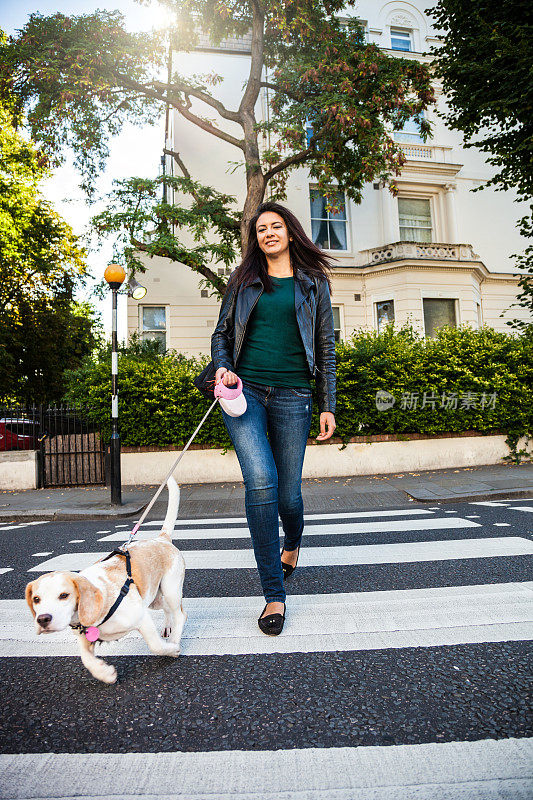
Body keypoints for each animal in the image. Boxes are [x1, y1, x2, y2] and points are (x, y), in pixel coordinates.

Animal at [25, 478, 187, 684]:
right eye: (36, 599)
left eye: (64, 595)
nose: (43, 619)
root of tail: (162, 539)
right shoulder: (85, 637)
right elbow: (86, 658)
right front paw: (104, 673)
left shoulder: (141, 618)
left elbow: (155, 646)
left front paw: (171, 650)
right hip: (153, 596)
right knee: (167, 609)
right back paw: (168, 627)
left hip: (170, 589)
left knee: (180, 614)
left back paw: (174, 638)